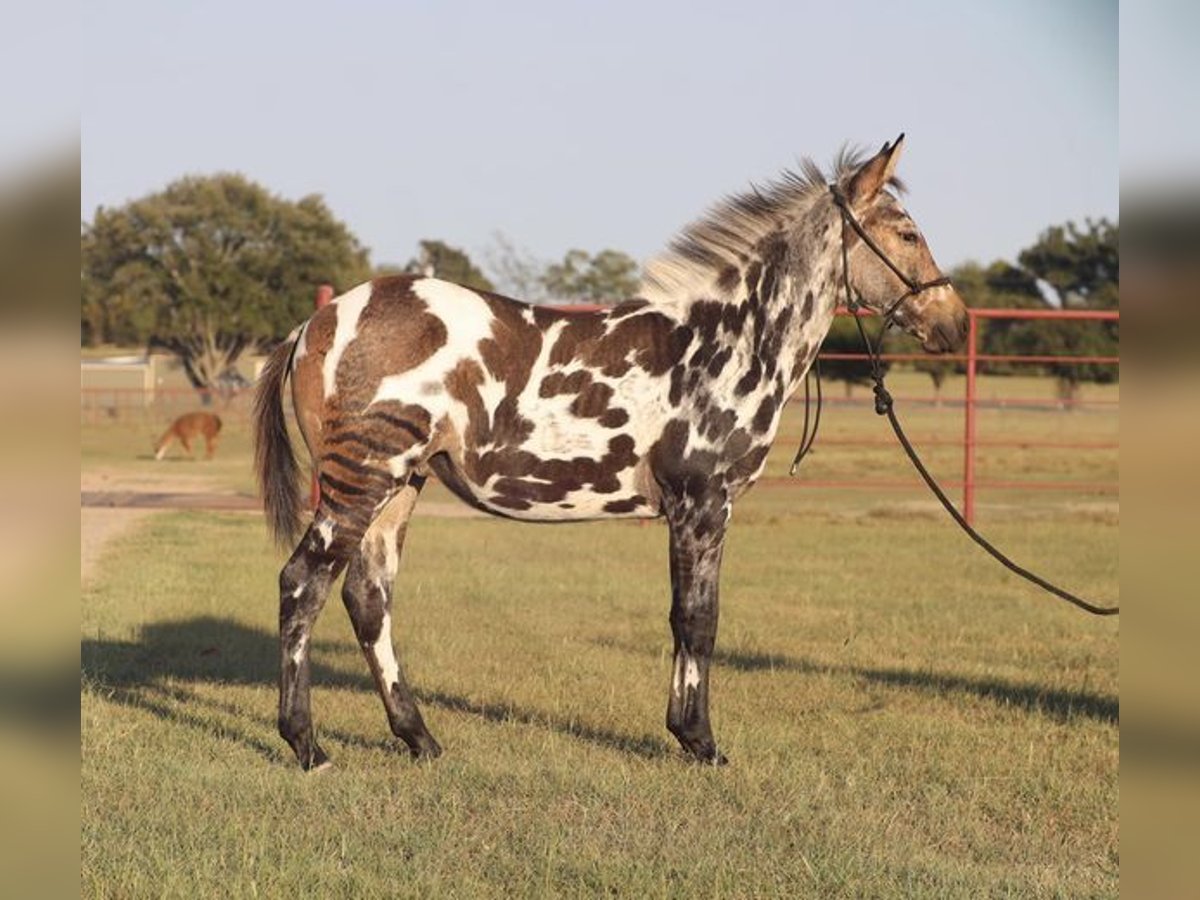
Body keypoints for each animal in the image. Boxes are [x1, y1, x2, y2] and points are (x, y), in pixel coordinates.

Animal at [255, 137, 974, 772]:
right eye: (907, 233)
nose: (955, 323)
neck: (727, 341)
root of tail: (317, 322)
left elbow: (687, 619)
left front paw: (689, 734)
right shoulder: (703, 505)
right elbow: (698, 619)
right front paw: (700, 742)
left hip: (399, 489)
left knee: (367, 599)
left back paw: (419, 739)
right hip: (361, 482)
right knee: (302, 585)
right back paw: (308, 746)